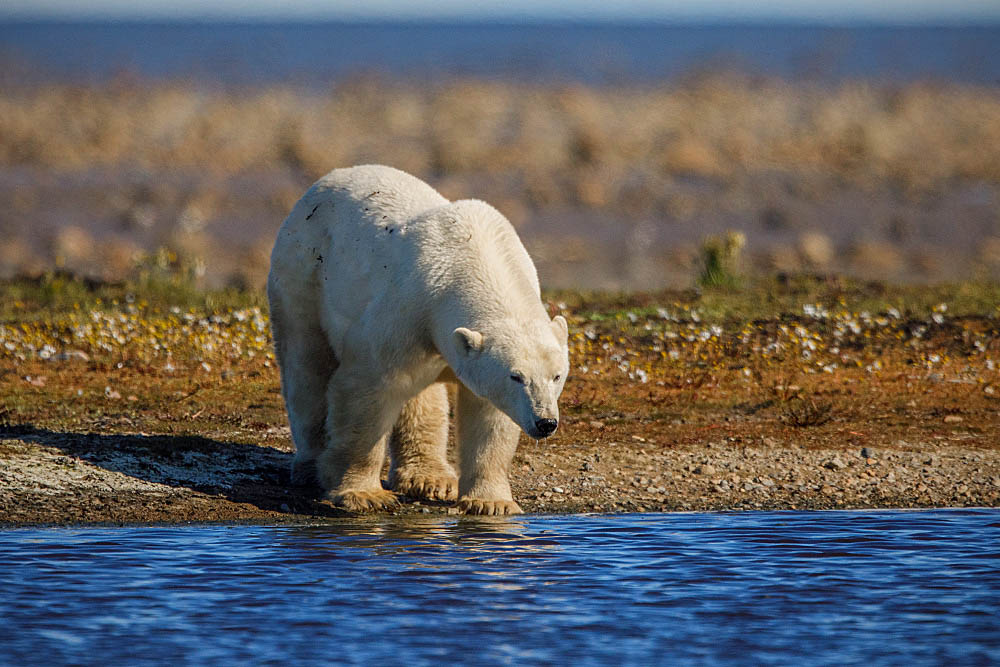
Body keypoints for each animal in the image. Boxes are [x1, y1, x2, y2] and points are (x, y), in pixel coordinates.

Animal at [266, 166, 568, 516]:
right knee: (306, 368)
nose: (545, 422)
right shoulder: (408, 307)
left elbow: (489, 417)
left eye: (556, 376)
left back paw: (430, 478)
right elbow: (368, 390)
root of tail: (322, 182)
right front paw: (363, 494)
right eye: (516, 376)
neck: (470, 259)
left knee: (422, 396)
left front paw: (492, 502)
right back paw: (311, 466)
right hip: (302, 274)